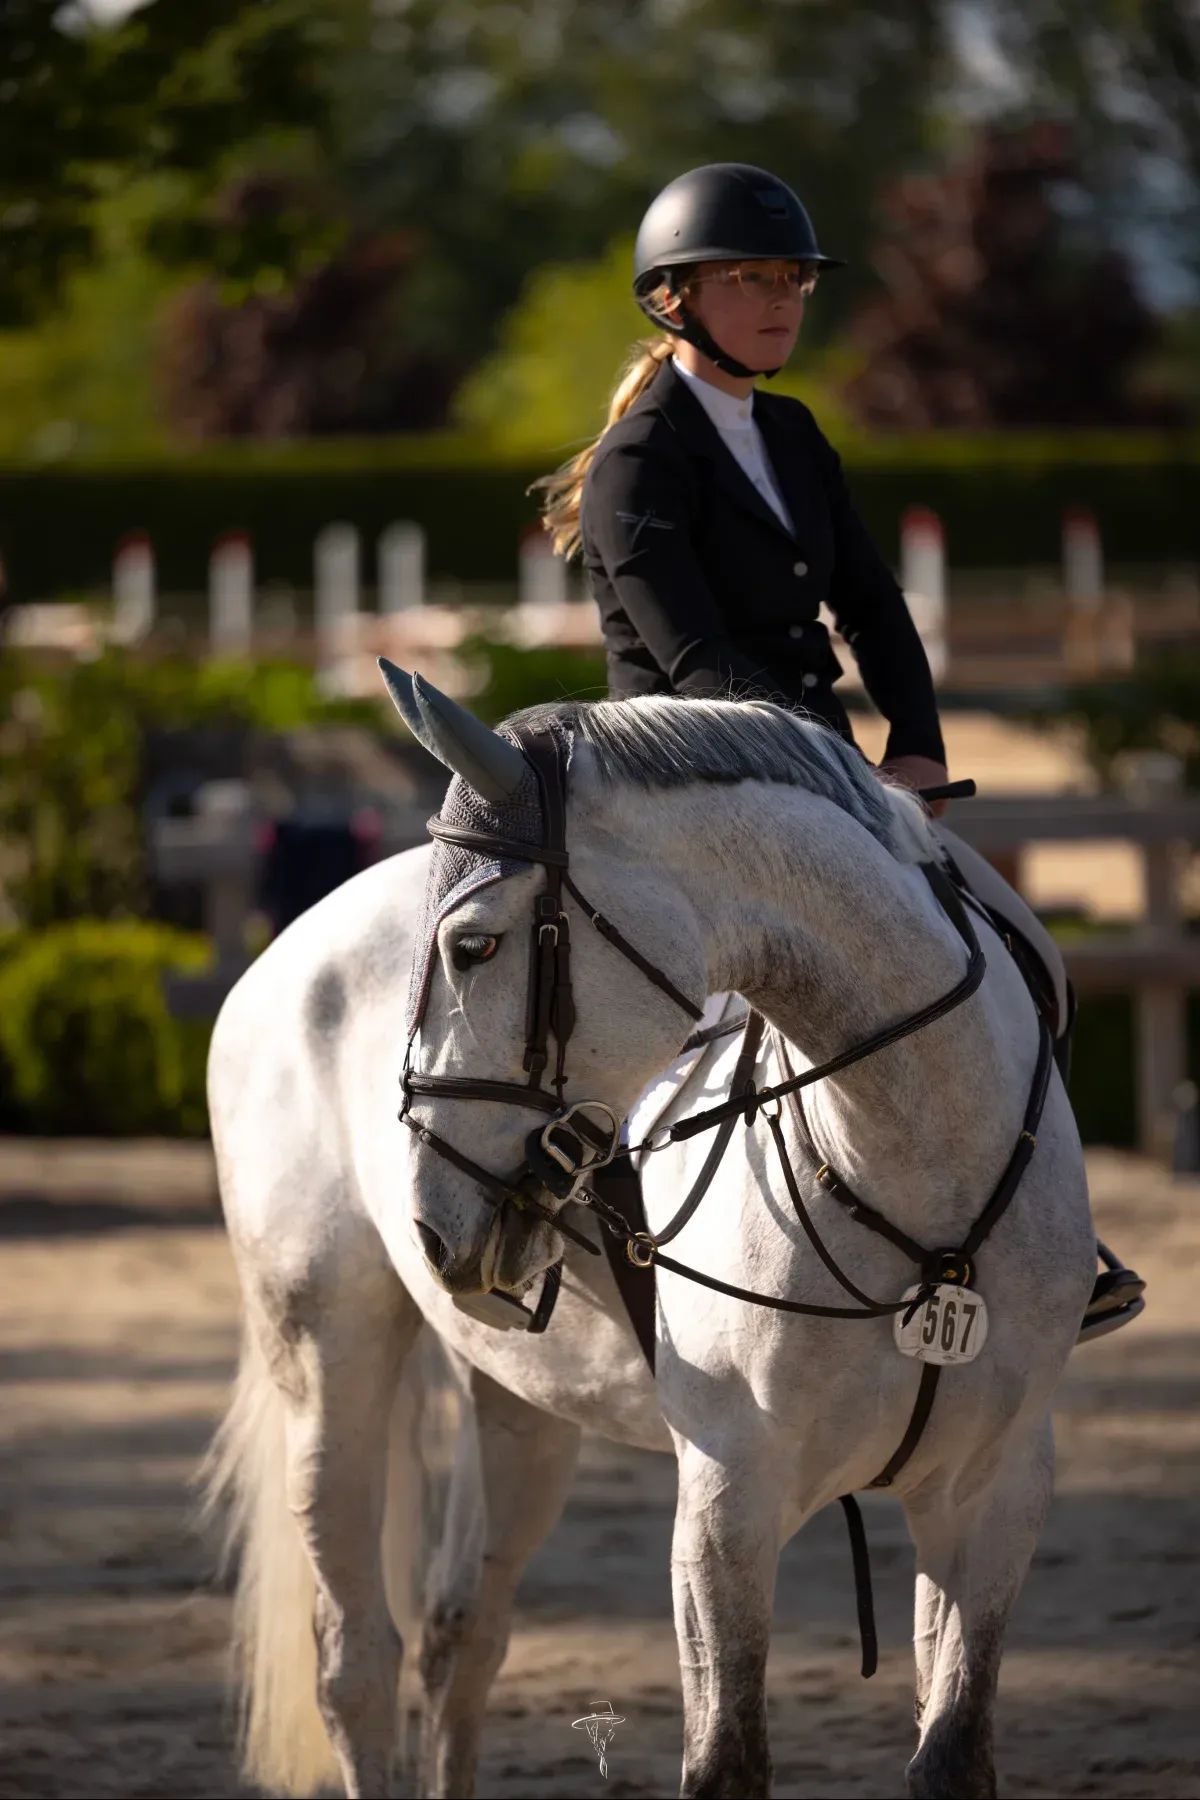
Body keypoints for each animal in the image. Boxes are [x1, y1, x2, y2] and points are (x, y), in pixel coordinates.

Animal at [203, 668, 1094, 1799]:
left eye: (471, 945)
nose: (433, 1221)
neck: (922, 1187)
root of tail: (291, 942)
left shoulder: (989, 1494)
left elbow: (951, 1752)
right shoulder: (727, 1499)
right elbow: (726, 1758)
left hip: (520, 1404)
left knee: (462, 1634)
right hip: (327, 1359)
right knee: (356, 1662)